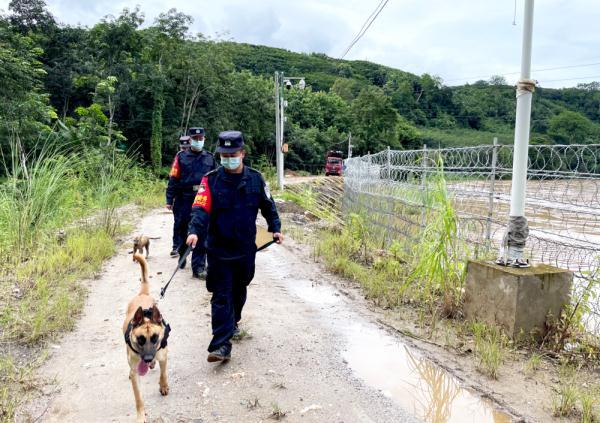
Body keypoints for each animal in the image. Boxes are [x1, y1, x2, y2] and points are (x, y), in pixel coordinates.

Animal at [122, 253, 169, 422]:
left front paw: (163, 386)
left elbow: (163, 373)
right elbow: (138, 399)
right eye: (140, 339)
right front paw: (141, 416)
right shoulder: (136, 373)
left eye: (155, 338)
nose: (148, 358)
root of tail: (143, 294)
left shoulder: (163, 355)